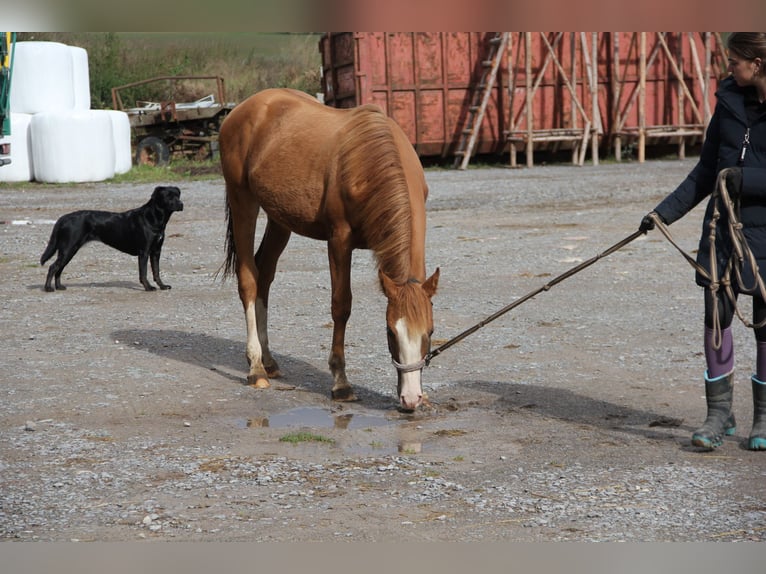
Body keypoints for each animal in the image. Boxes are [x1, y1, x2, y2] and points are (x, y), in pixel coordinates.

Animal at [41, 187, 185, 292]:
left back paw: (59, 287)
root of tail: (64, 218)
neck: (153, 217)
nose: (181, 204)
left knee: (59, 269)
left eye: (178, 195)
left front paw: (163, 286)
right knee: (53, 267)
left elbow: (156, 271)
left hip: (69, 250)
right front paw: (148, 287)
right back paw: (48, 288)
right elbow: (143, 273)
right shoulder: (143, 252)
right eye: (168, 196)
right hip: (68, 249)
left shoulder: (156, 251)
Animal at [219, 89, 440, 410]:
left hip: (279, 219)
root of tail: (243, 109)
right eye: (390, 331)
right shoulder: (339, 240)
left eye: (430, 332)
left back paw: (269, 361)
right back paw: (256, 368)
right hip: (242, 202)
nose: (411, 398)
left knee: (264, 274)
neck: (368, 161)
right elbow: (341, 306)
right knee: (248, 279)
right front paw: (341, 382)